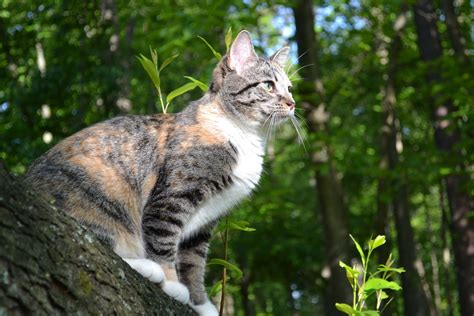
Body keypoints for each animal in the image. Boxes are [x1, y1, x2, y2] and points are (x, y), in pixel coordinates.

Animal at [25, 30, 296, 316]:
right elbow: (162, 241)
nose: (292, 103)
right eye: (268, 85)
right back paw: (149, 269)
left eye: (289, 87)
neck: (241, 132)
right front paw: (172, 283)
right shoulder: (171, 198)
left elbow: (193, 263)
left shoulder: (204, 225)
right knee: (94, 242)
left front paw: (201, 303)